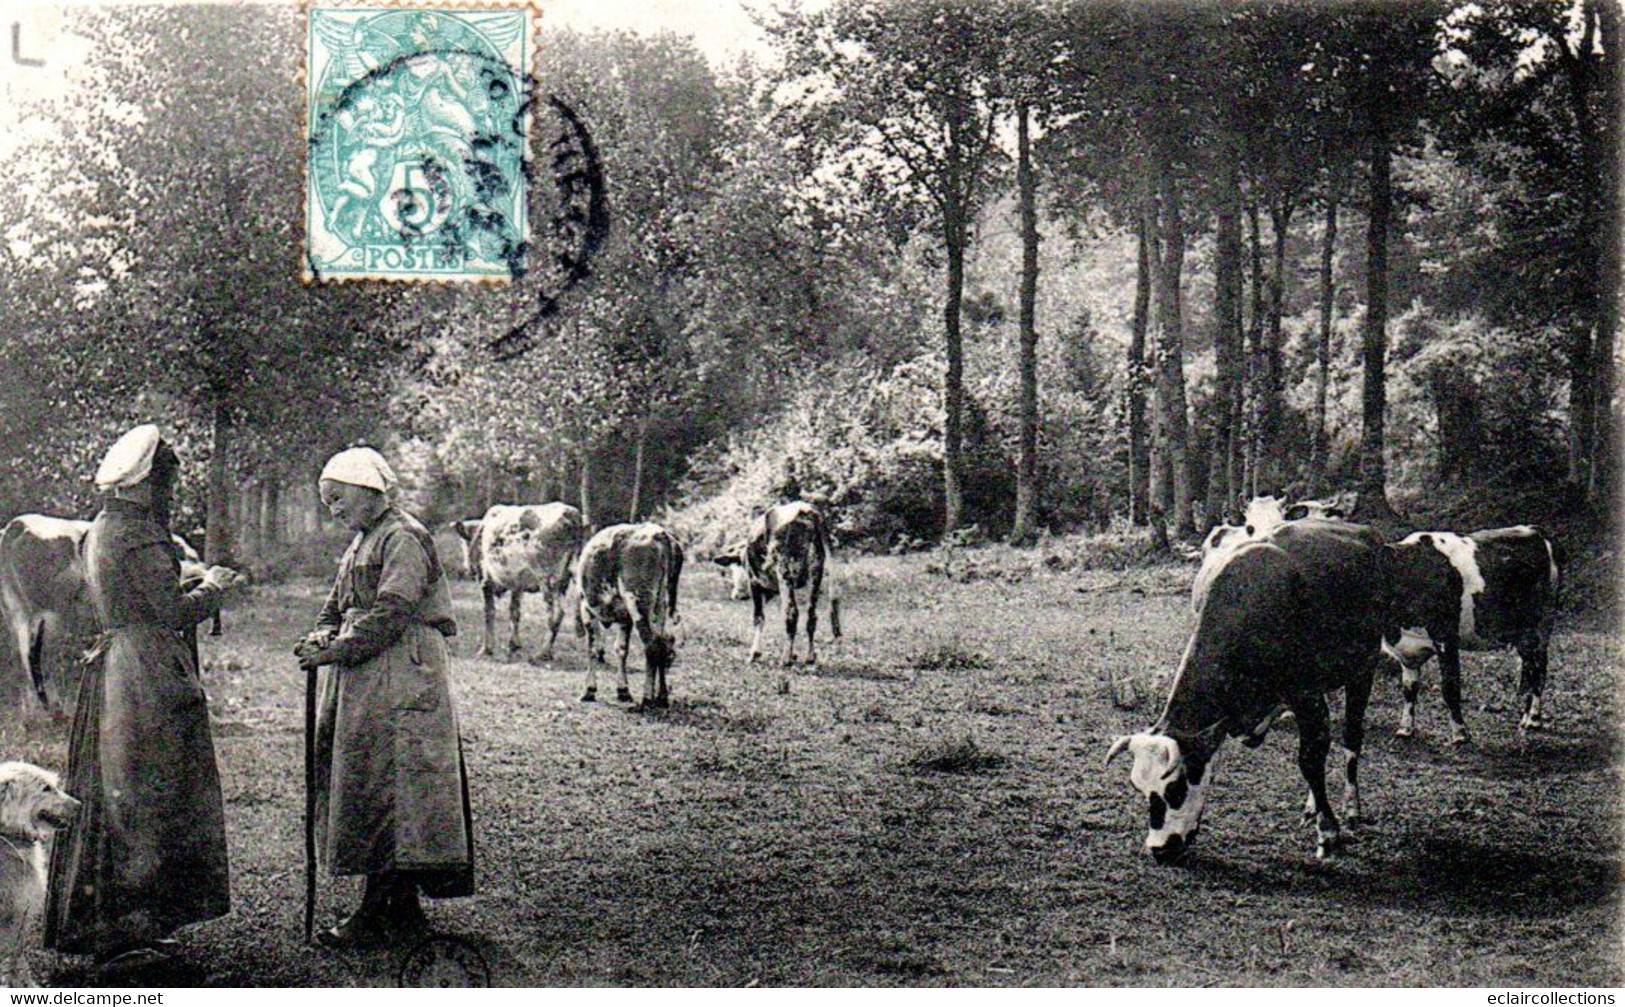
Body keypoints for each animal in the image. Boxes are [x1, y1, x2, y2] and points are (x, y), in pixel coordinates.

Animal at [458, 503, 585, 659]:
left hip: (547, 580)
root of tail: (570, 513)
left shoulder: (486, 581)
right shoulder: (517, 585)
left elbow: (489, 613)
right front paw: (514, 645)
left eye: (464, 543)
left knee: (557, 614)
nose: (466, 568)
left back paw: (542, 653)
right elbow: (514, 612)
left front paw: (486, 649)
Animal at [711, 500, 845, 665]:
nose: (736, 595)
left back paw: (786, 658)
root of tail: (807, 510)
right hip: (816, 573)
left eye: (738, 565)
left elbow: (758, 617)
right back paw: (809, 657)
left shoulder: (754, 583)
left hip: (784, 572)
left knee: (791, 613)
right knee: (811, 616)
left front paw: (755, 653)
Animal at [1111, 522, 1391, 864]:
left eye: (1175, 789)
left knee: (1350, 737)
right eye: (1141, 788)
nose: (1159, 850)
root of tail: (1364, 530)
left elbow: (1310, 759)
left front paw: (1328, 830)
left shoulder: (1307, 693)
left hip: (1363, 667)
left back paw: (1350, 805)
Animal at [1384, 526, 1560, 740]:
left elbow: (1450, 687)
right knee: (1530, 668)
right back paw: (1528, 716)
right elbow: (1409, 689)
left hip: (1541, 625)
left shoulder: (1446, 638)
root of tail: (1534, 529)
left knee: (1539, 670)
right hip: (1521, 633)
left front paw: (1460, 733)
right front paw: (1405, 728)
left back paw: (1533, 718)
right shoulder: (1408, 648)